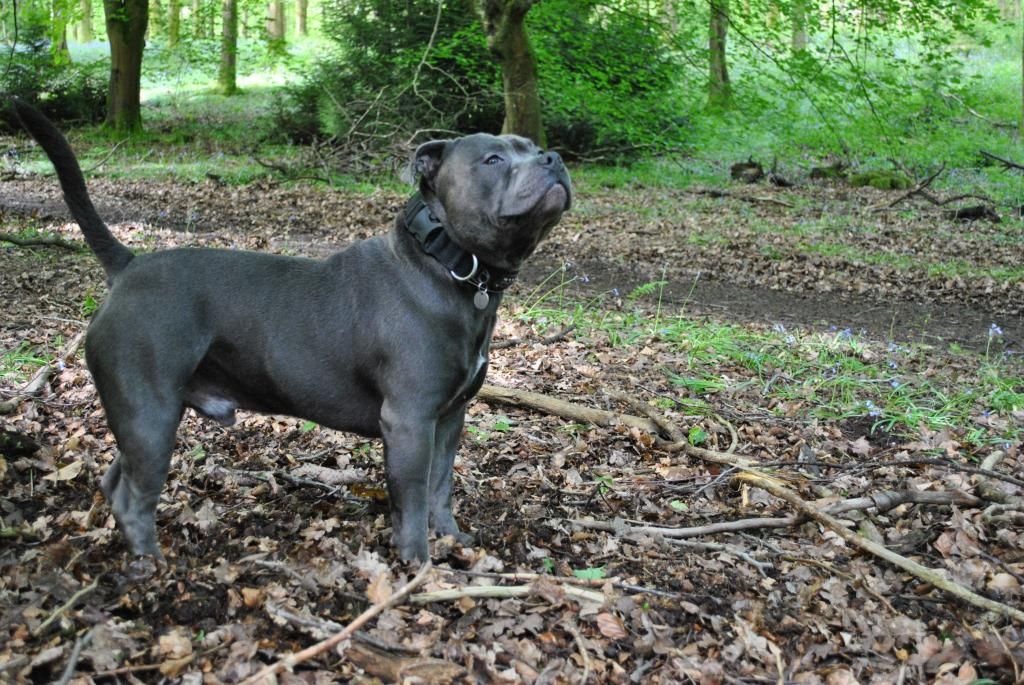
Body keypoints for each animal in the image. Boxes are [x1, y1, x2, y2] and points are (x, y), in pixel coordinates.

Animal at [8, 100, 573, 561]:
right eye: (493, 160)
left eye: (533, 148)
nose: (555, 158)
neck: (449, 266)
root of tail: (128, 267)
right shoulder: (411, 422)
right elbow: (412, 498)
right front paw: (418, 564)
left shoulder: (449, 420)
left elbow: (440, 487)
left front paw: (452, 540)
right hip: (151, 413)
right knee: (132, 495)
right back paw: (151, 567)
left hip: (139, 418)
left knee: (115, 479)